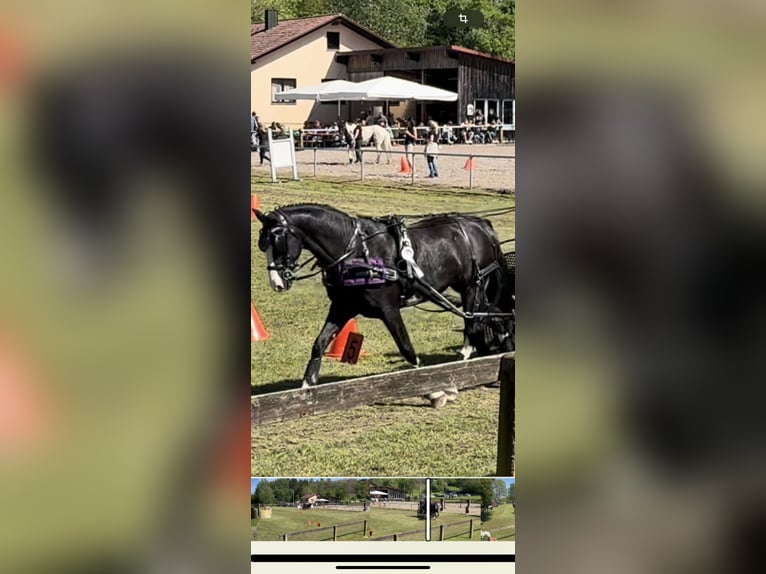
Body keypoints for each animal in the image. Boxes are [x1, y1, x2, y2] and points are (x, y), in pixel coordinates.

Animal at [255, 203, 514, 390]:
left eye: (278, 242)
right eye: (262, 245)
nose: (277, 283)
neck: (356, 251)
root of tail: (481, 224)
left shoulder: (389, 310)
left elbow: (406, 347)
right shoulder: (342, 307)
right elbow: (319, 343)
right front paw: (307, 385)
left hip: (474, 285)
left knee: (474, 322)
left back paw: (468, 356)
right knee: (489, 317)